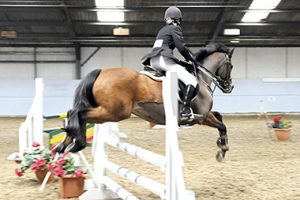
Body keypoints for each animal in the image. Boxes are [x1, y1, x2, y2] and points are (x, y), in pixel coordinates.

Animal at [55, 45, 236, 161]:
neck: (201, 78)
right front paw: (223, 150)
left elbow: (220, 117)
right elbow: (222, 125)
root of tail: (101, 71)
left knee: (76, 115)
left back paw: (64, 146)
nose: (230, 87)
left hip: (106, 111)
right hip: (114, 112)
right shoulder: (202, 117)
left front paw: (221, 145)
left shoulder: (205, 115)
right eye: (231, 66)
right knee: (78, 114)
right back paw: (77, 143)